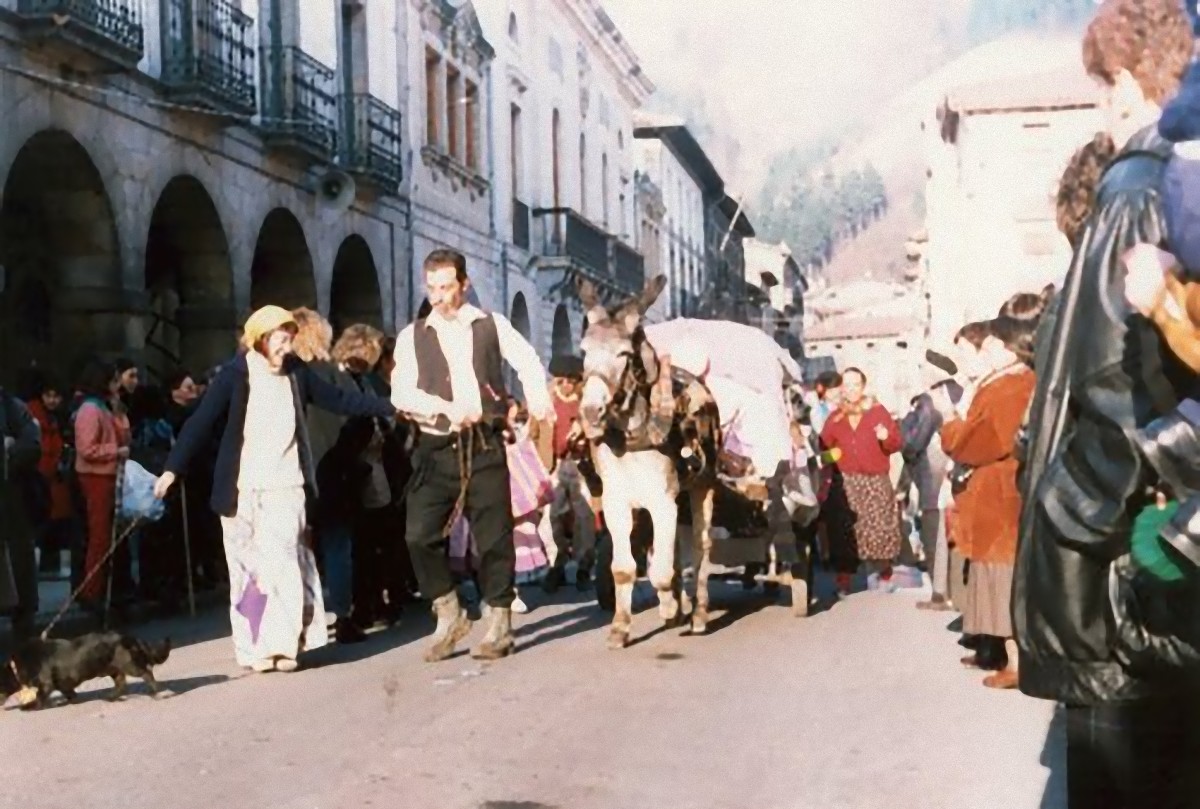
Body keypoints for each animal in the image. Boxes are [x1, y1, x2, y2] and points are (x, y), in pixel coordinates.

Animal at [2, 628, 172, 705]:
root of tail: (129, 637)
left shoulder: (46, 684)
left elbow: (39, 696)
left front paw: (29, 707)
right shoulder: (62, 684)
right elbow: (68, 692)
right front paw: (71, 700)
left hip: (129, 664)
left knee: (146, 672)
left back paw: (156, 693)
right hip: (112, 668)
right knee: (121, 682)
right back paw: (112, 697)